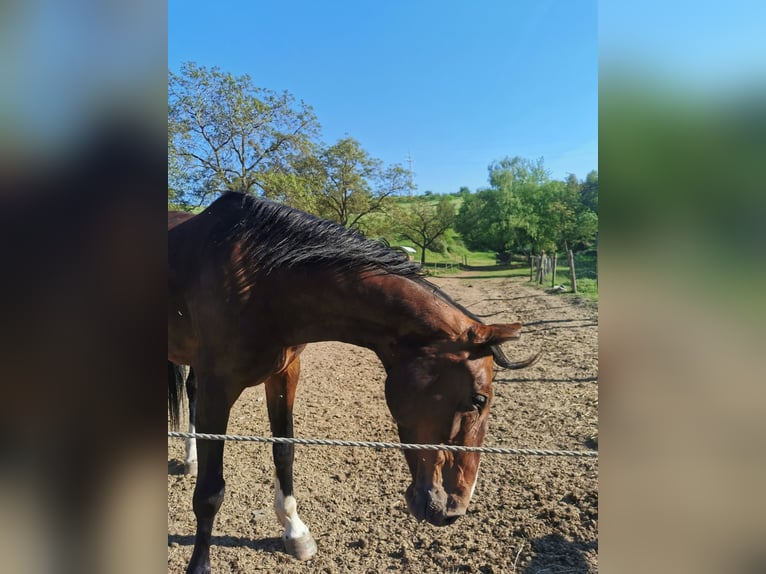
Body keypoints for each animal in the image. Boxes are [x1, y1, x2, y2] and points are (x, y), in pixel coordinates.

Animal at [168, 191, 539, 574]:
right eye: (478, 399)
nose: (454, 510)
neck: (257, 282)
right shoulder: (218, 387)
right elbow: (210, 491)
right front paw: (199, 565)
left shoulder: (285, 374)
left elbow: (284, 451)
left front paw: (295, 531)